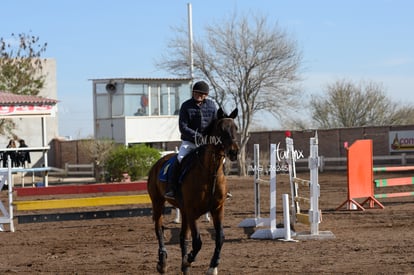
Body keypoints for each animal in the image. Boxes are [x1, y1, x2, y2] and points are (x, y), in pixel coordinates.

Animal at [147, 107, 239, 274]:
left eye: (235, 128)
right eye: (222, 129)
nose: (234, 152)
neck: (210, 173)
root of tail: (158, 162)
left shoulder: (217, 209)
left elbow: (220, 238)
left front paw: (212, 266)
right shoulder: (192, 212)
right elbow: (197, 241)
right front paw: (189, 259)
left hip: (182, 210)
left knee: (182, 237)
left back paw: (184, 268)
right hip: (158, 203)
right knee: (159, 229)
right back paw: (163, 262)